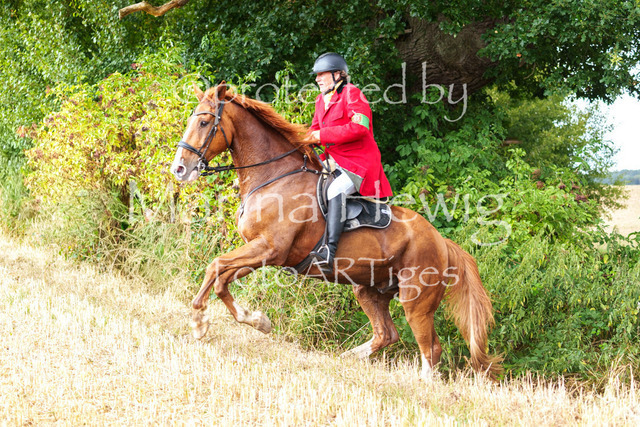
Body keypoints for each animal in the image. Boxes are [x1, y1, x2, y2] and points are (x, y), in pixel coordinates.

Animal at [170, 82, 502, 379]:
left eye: (204, 122)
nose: (179, 169)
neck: (275, 177)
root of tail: (442, 241)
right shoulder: (259, 252)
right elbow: (220, 279)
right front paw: (257, 320)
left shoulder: (269, 248)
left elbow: (215, 266)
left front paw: (199, 321)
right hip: (369, 289)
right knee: (386, 334)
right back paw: (348, 358)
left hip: (416, 301)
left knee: (430, 349)